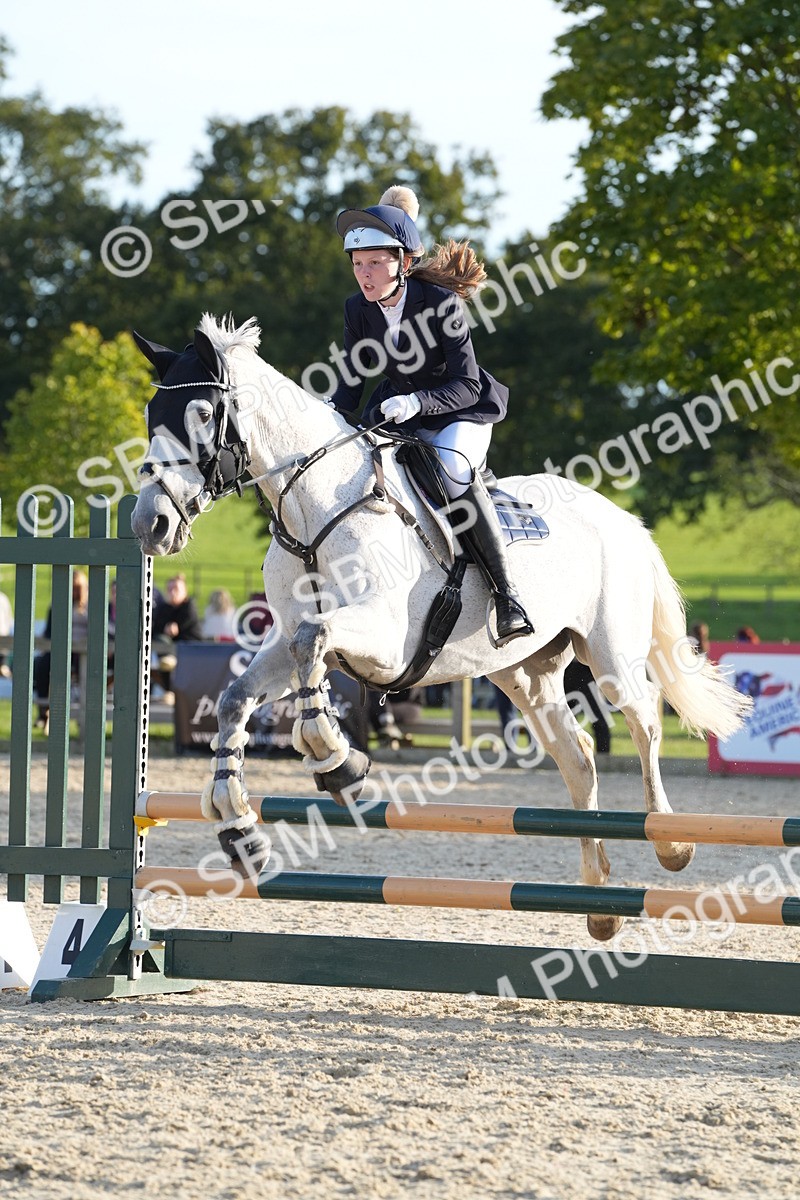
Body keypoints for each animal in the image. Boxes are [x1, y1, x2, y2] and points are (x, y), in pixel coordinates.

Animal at [130, 313, 751, 941]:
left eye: (201, 414)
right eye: (151, 415)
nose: (147, 524)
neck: (316, 509)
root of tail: (623, 519)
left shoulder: (383, 639)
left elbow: (314, 644)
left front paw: (336, 759)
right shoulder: (285, 641)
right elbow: (238, 695)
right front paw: (237, 825)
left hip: (610, 656)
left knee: (644, 722)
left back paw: (671, 844)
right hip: (524, 673)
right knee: (576, 754)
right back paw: (599, 903)